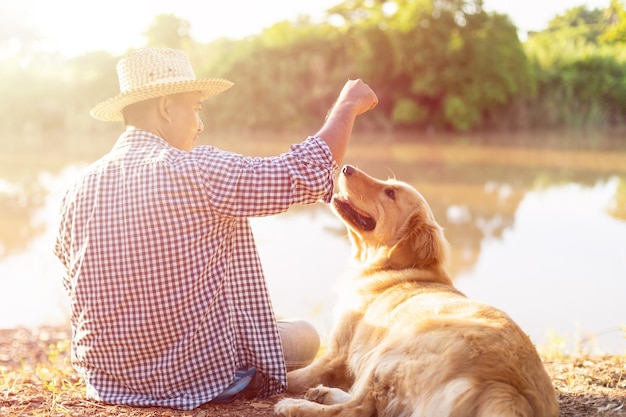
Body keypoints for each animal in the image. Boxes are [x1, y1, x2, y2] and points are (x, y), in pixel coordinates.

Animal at [272, 166, 556, 416]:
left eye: (390, 193)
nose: (346, 168)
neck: (388, 266)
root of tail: (506, 388)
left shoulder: (336, 353)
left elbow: (293, 376)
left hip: (391, 348)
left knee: (358, 408)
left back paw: (296, 406)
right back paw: (323, 393)